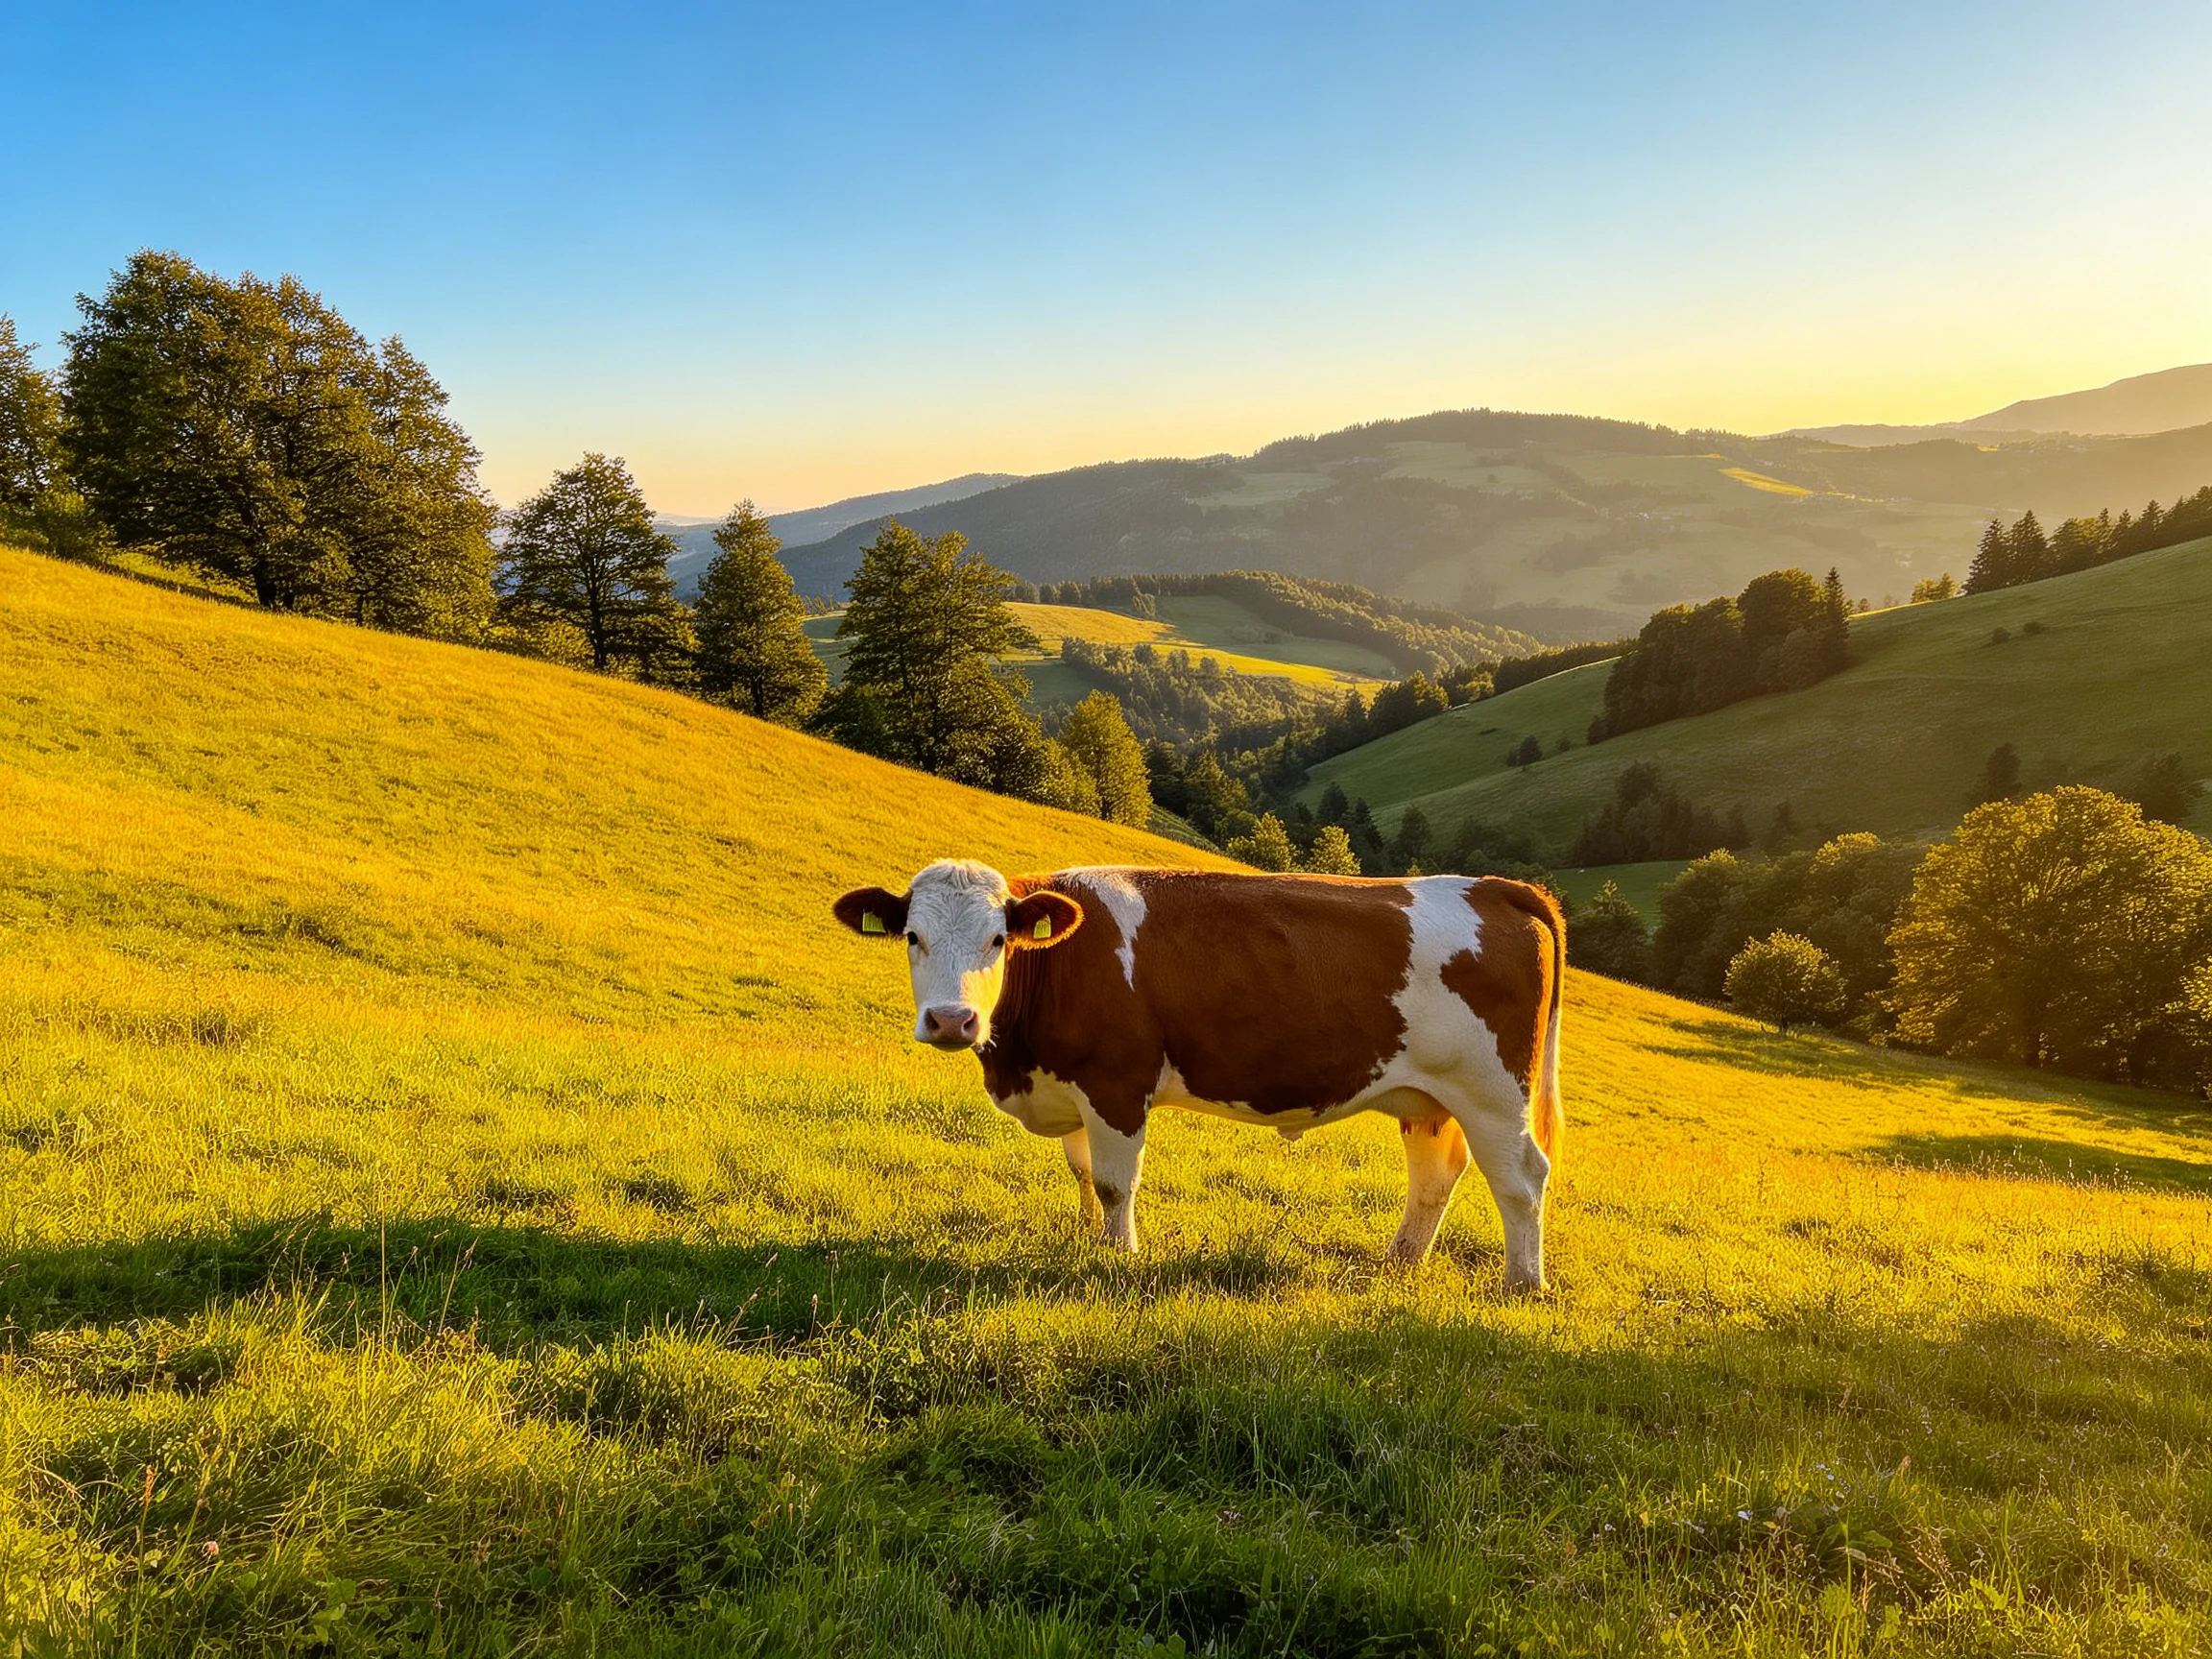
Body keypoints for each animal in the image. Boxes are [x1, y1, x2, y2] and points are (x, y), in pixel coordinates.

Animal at [833, 861, 1565, 1290]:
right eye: (912, 937)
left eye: (998, 940)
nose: (951, 1020)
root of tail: (1492, 886)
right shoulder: (1069, 1083)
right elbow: (1081, 1172)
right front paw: (1083, 1239)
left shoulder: (1116, 1082)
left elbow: (1113, 1183)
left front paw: (1118, 1257)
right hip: (1428, 1096)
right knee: (1435, 1175)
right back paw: (1400, 1261)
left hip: (1494, 1092)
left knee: (1522, 1179)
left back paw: (1523, 1285)